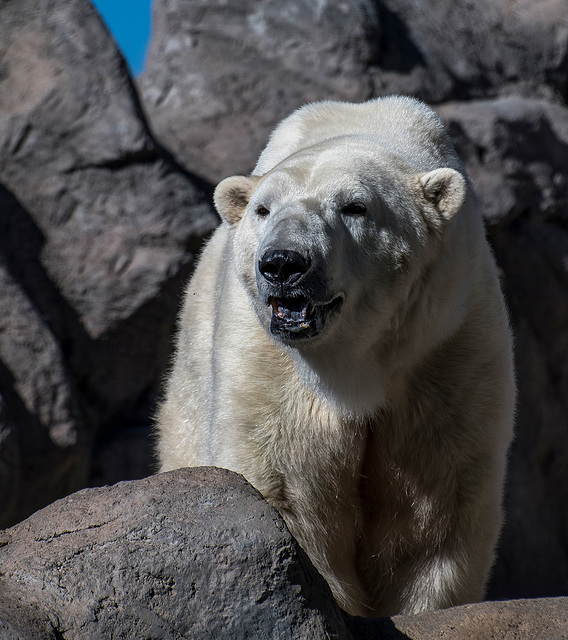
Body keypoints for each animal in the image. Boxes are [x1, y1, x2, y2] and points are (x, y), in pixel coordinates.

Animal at [155, 97, 516, 616]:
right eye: (263, 209)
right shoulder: (271, 362)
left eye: (354, 207)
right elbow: (291, 486)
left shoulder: (443, 345)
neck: (355, 362)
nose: (283, 263)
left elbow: (434, 507)